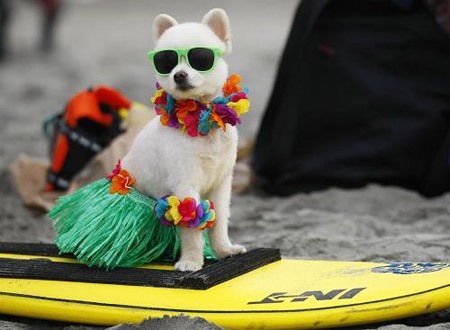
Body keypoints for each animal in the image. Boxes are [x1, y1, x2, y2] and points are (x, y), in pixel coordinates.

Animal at [122, 8, 246, 270]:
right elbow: (192, 232)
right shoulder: (185, 185)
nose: (178, 75)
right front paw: (191, 261)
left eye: (200, 58)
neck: (202, 121)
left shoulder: (222, 184)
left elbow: (219, 223)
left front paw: (224, 251)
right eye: (166, 63)